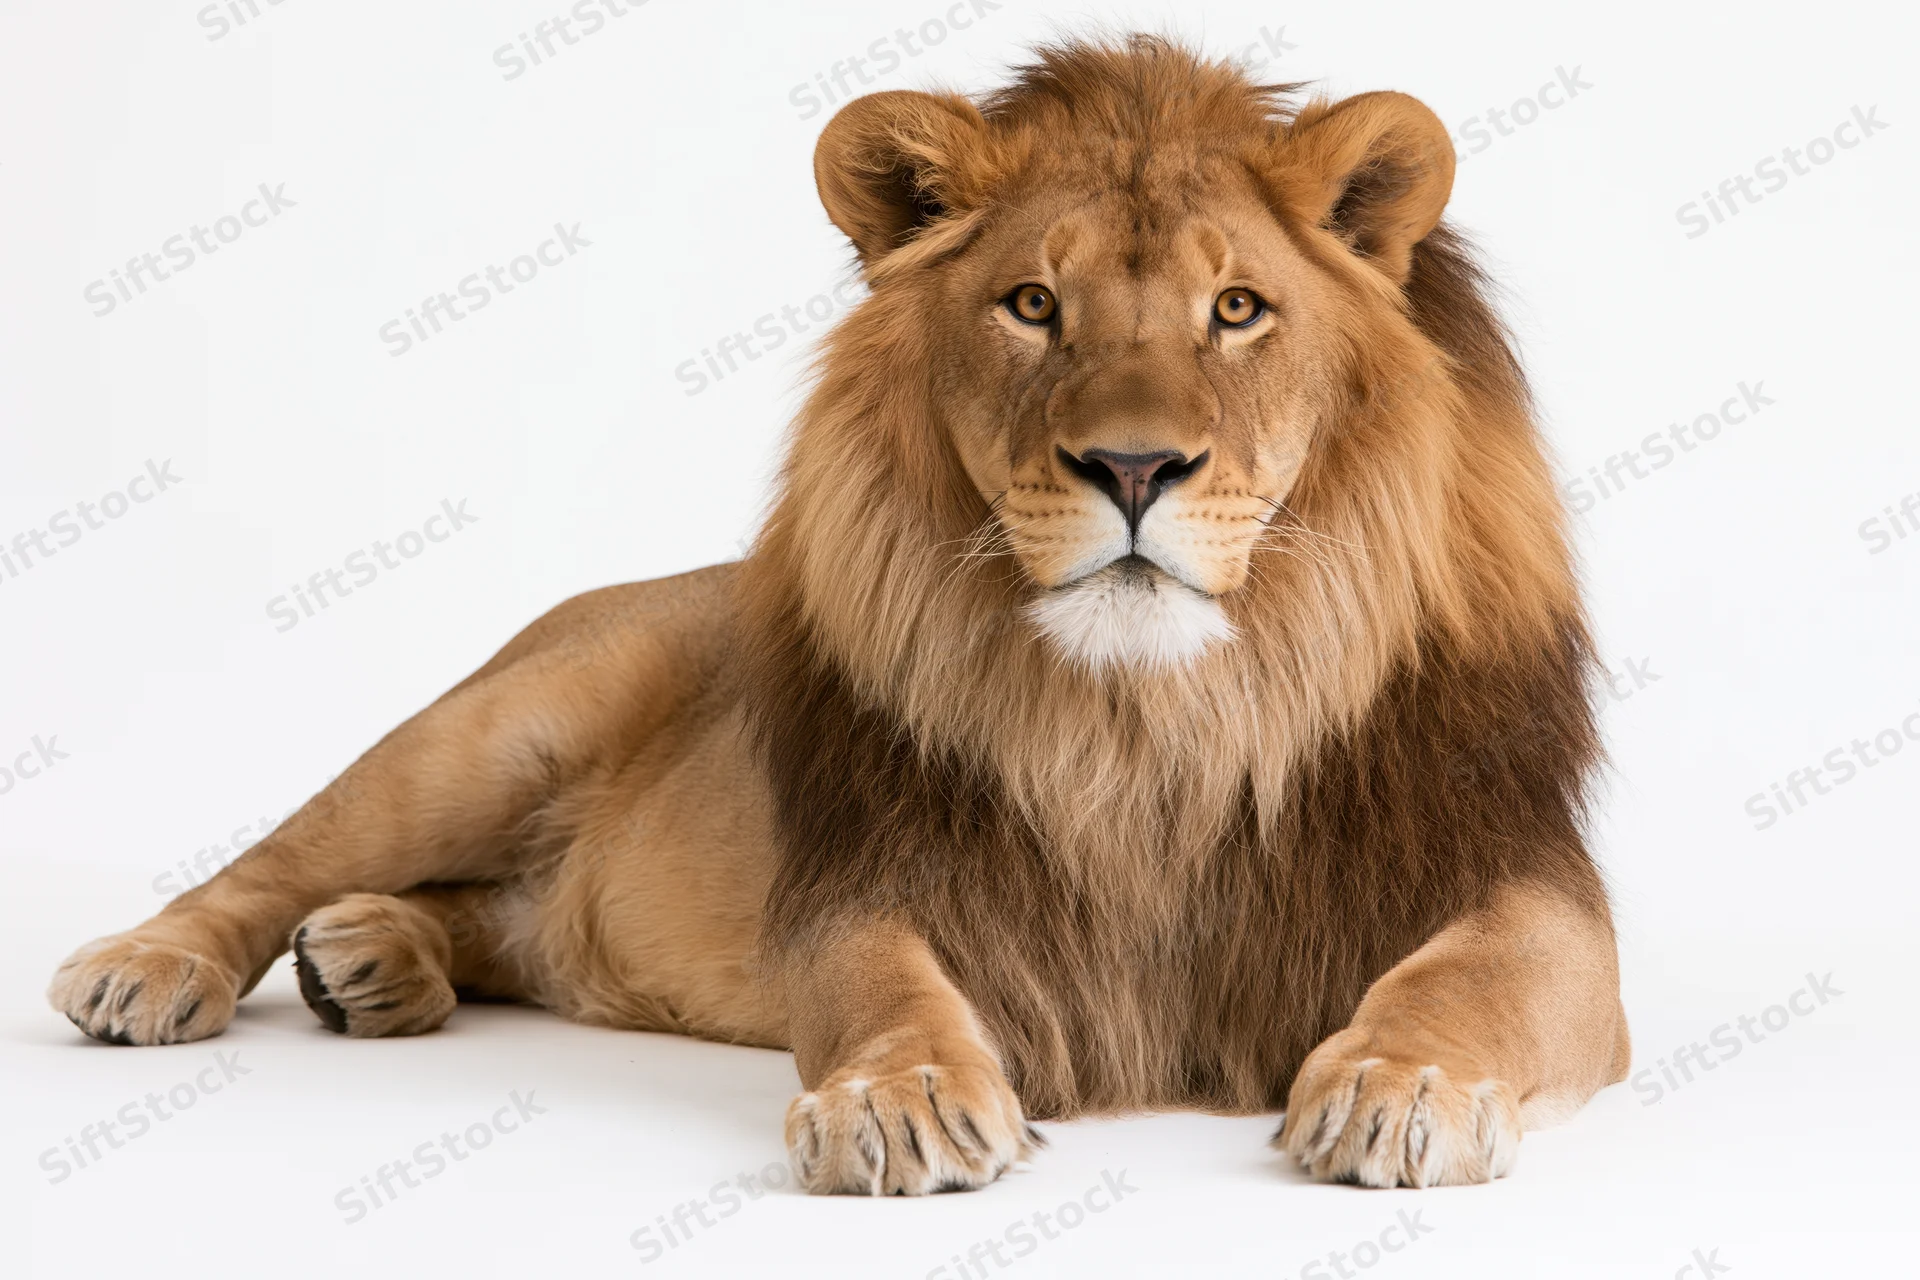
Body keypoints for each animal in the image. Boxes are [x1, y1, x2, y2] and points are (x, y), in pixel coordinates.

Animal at [49, 37, 1629, 1193]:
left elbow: (1473, 979)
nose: (1130, 468)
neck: (1154, 720)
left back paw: (375, 956)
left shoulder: (1528, 881)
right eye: (1031, 304)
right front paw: (906, 1097)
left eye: (1238, 310)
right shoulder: (871, 871)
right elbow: (880, 985)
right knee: (281, 853)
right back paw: (153, 965)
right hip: (498, 725)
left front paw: (1397, 1080)